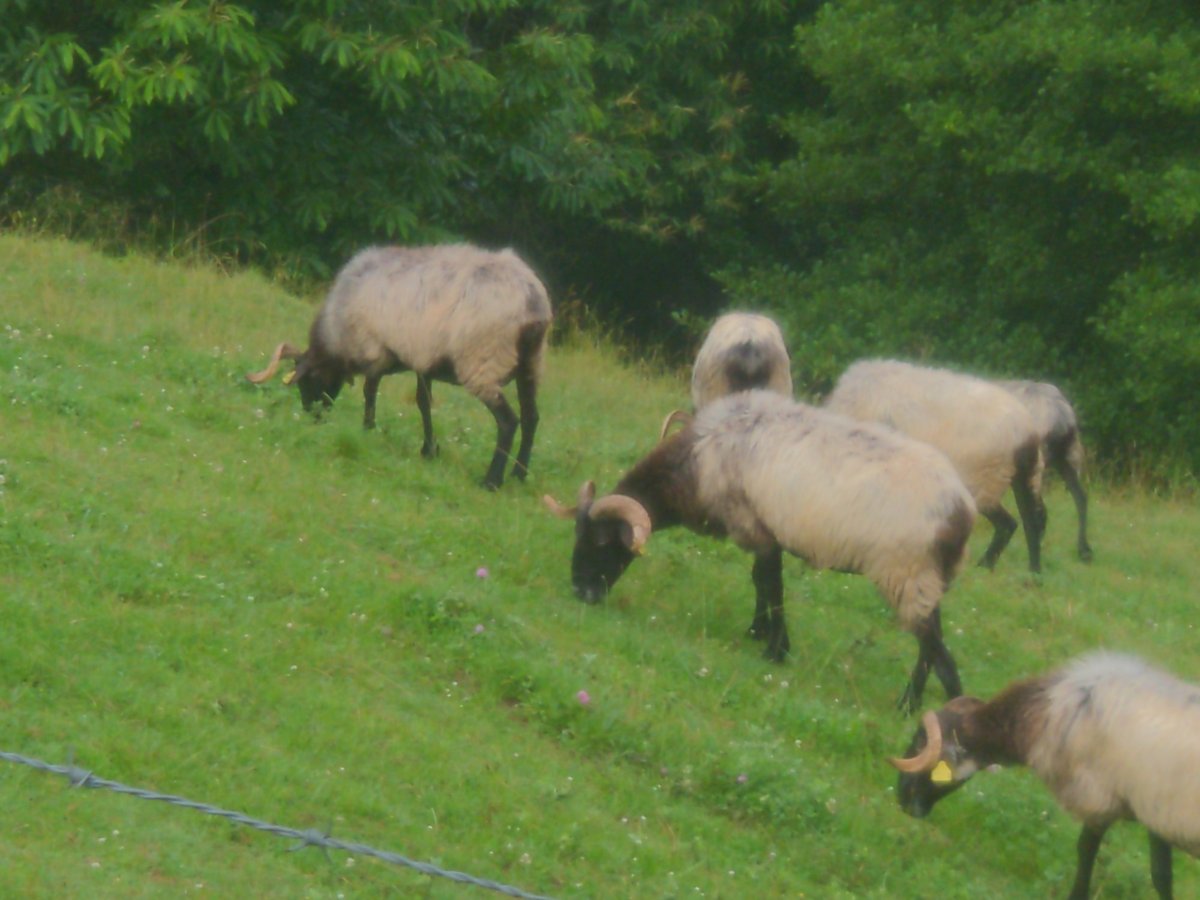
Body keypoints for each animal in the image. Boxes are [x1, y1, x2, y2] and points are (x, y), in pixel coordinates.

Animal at [246, 243, 553, 489]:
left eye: (307, 381)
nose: (312, 417)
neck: (337, 332)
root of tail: (532, 303)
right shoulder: (422, 360)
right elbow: (423, 403)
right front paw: (429, 449)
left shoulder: (376, 351)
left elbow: (370, 391)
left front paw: (367, 429)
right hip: (531, 364)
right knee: (532, 418)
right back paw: (519, 475)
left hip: (483, 362)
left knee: (508, 421)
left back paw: (492, 481)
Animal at [543, 389, 978, 712]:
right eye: (578, 536)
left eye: (603, 542)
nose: (581, 591)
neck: (699, 460)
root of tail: (963, 511)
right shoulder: (762, 530)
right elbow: (761, 582)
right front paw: (758, 631)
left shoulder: (757, 526)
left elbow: (771, 585)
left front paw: (775, 649)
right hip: (927, 576)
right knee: (932, 637)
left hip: (906, 572)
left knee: (932, 643)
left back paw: (920, 704)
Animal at [825, 359, 1044, 573]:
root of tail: (1026, 430)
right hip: (1022, 475)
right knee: (1032, 520)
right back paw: (1030, 571)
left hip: (983, 480)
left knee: (1009, 523)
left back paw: (990, 566)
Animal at [889, 652, 1200, 899]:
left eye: (920, 742)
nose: (901, 797)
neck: (1044, 712)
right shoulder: (1152, 810)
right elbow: (1161, 875)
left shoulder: (1097, 798)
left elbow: (1085, 851)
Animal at [997, 379, 1093, 562]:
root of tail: (1061, 413)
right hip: (1068, 456)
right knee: (1080, 497)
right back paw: (1084, 550)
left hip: (1032, 467)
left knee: (1036, 512)